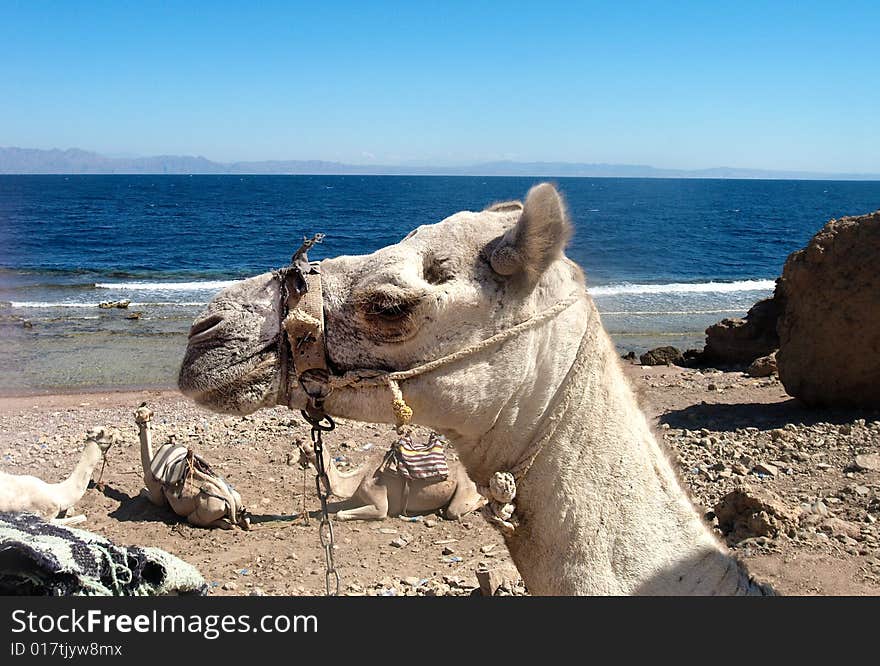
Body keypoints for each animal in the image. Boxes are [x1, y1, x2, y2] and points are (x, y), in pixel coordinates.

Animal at [298, 436, 488, 520]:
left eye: (311, 444)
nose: (298, 441)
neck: (357, 479)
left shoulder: (379, 503)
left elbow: (340, 514)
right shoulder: (357, 497)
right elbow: (333, 507)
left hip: (466, 487)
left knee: (455, 510)